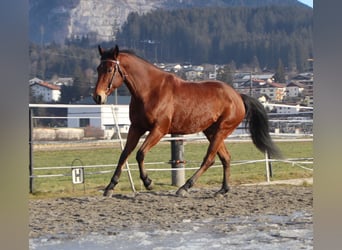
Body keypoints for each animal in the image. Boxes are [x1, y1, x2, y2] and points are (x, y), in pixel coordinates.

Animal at [93, 45, 280, 197]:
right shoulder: (136, 128)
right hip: (211, 131)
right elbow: (124, 155)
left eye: (110, 69)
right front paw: (110, 187)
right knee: (225, 158)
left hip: (221, 130)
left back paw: (185, 187)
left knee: (209, 159)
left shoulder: (159, 130)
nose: (98, 97)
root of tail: (238, 96)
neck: (149, 91)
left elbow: (140, 154)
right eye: (98, 68)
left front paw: (148, 182)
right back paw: (222, 190)